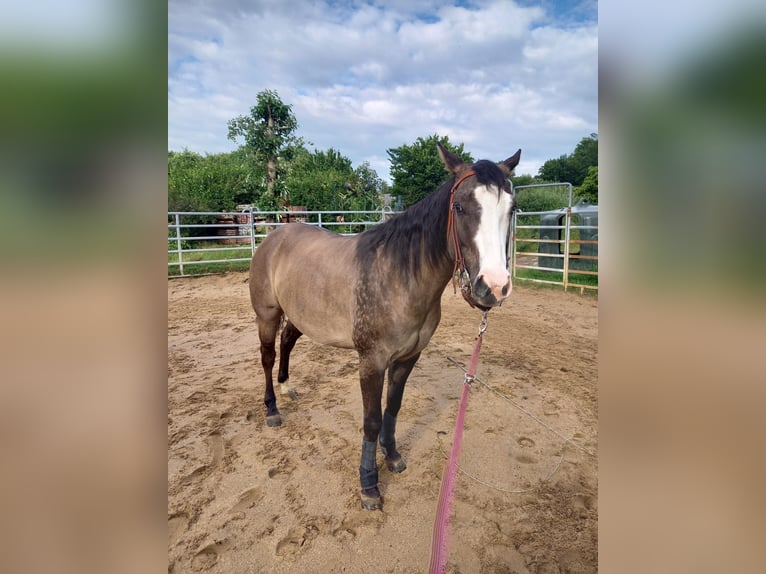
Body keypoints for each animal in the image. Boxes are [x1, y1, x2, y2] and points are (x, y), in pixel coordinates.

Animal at [249, 143, 521, 510]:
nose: (493, 287)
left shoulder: (407, 359)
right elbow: (372, 420)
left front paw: (392, 456)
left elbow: (393, 408)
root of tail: (273, 236)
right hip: (267, 314)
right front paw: (369, 485)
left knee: (287, 342)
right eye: (460, 206)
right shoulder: (372, 361)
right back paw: (273, 410)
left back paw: (288, 387)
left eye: (511, 209)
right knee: (267, 356)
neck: (398, 276)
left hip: (300, 315)